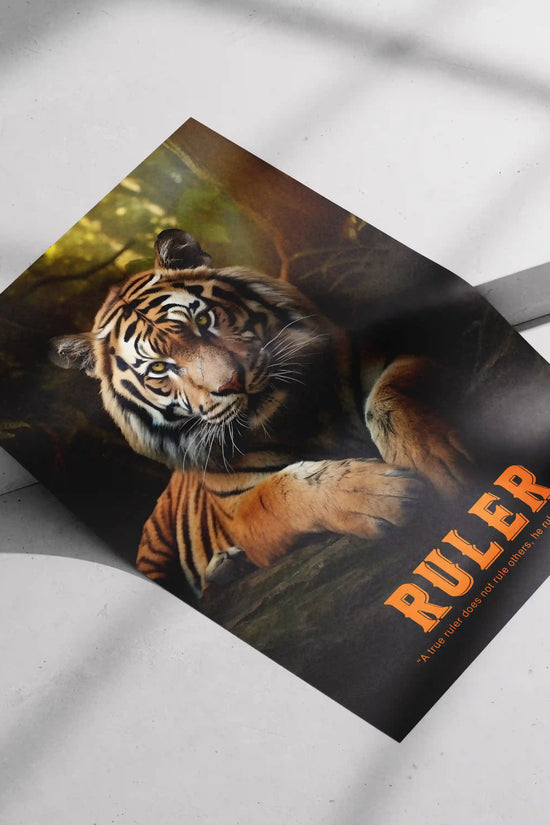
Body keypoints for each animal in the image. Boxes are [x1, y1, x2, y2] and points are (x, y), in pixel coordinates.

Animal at [50, 228, 470, 598]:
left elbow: (390, 395)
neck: (298, 418)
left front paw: (437, 461)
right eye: (158, 368)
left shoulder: (384, 357)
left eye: (202, 320)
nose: (232, 382)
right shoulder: (240, 508)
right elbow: (282, 492)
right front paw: (379, 494)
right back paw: (224, 567)